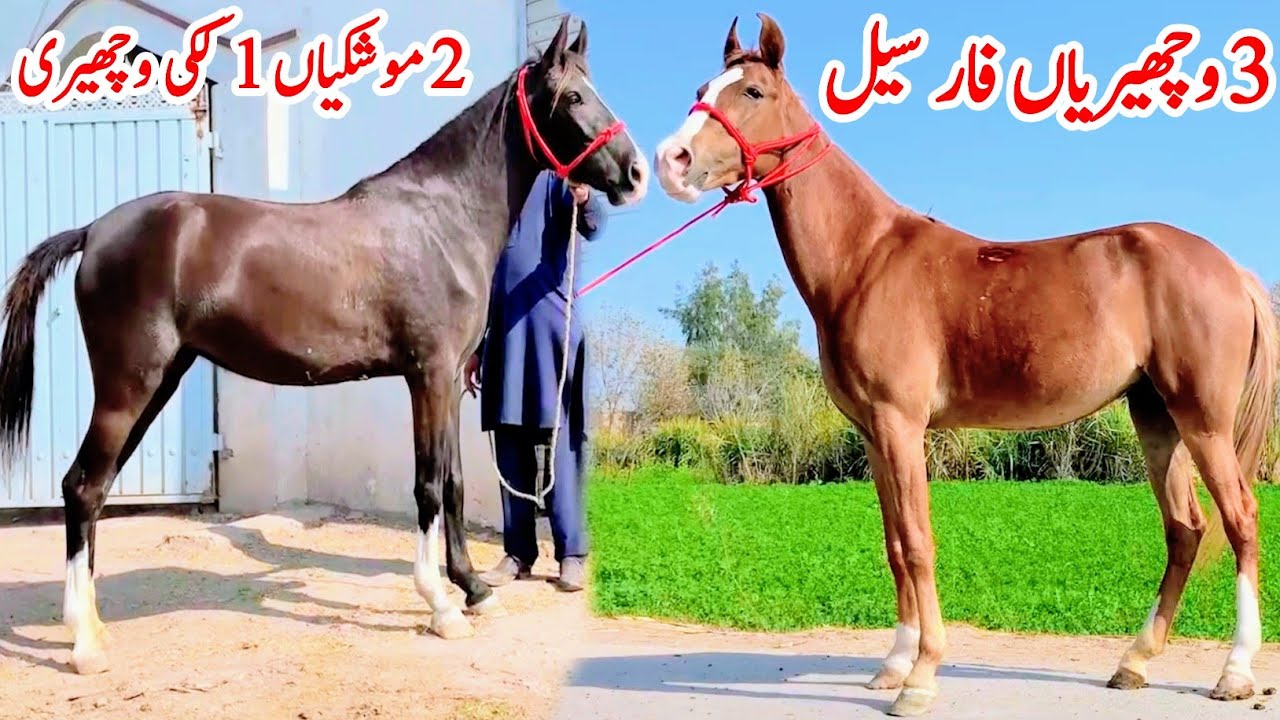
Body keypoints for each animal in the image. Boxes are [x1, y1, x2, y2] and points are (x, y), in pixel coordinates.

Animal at [0, 15, 648, 676]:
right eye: (574, 97)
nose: (634, 173)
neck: (440, 219)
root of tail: (94, 231)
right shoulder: (428, 376)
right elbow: (429, 485)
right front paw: (441, 605)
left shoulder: (450, 383)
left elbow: (456, 485)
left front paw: (475, 590)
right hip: (129, 385)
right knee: (81, 487)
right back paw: (84, 643)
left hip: (158, 383)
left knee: (96, 489)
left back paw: (93, 627)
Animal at [653, 14, 1276, 716]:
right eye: (702, 89)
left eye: (753, 91)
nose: (672, 161)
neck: (866, 258)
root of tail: (1230, 268)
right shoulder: (874, 435)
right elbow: (895, 545)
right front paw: (894, 665)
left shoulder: (901, 426)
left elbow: (919, 543)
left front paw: (921, 677)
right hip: (1156, 418)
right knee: (1185, 529)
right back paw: (1134, 663)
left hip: (1204, 421)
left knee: (1240, 520)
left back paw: (1234, 671)